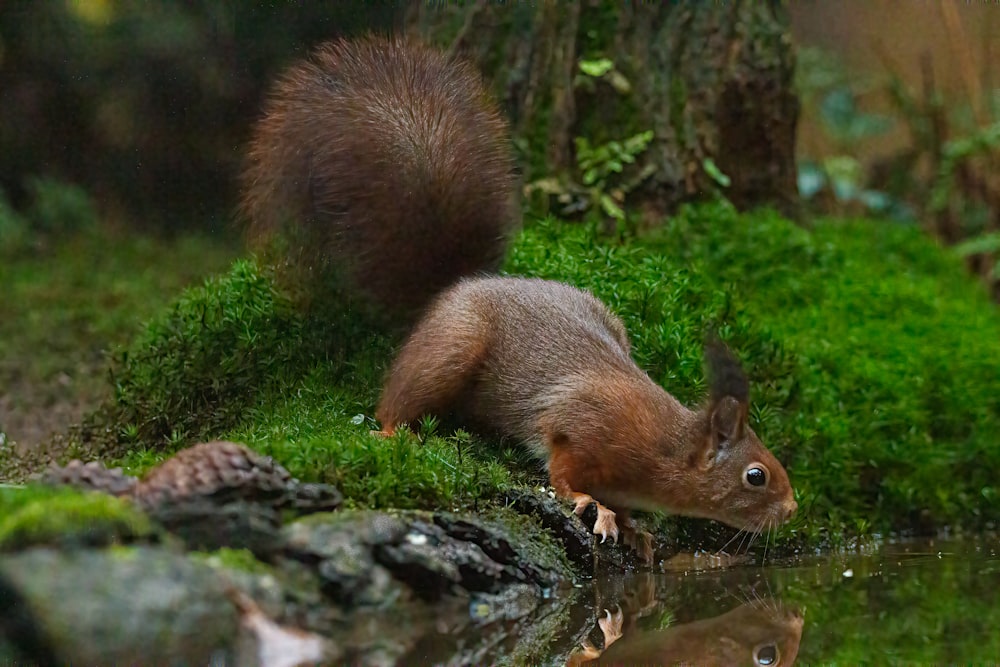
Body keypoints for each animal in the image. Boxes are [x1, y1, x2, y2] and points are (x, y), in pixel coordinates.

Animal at [242, 35, 796, 560]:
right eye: (756, 475)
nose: (792, 508)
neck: (666, 448)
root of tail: (457, 287)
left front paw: (634, 526)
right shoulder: (582, 423)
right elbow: (562, 467)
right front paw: (593, 504)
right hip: (453, 348)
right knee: (397, 400)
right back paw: (392, 431)